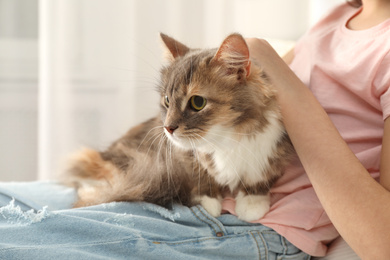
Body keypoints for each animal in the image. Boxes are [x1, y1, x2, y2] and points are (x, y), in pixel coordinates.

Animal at [65, 32, 294, 221]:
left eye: (197, 102)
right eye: (167, 100)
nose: (168, 128)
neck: (226, 138)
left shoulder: (272, 149)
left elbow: (258, 179)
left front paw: (252, 205)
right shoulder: (183, 156)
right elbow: (200, 178)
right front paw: (210, 203)